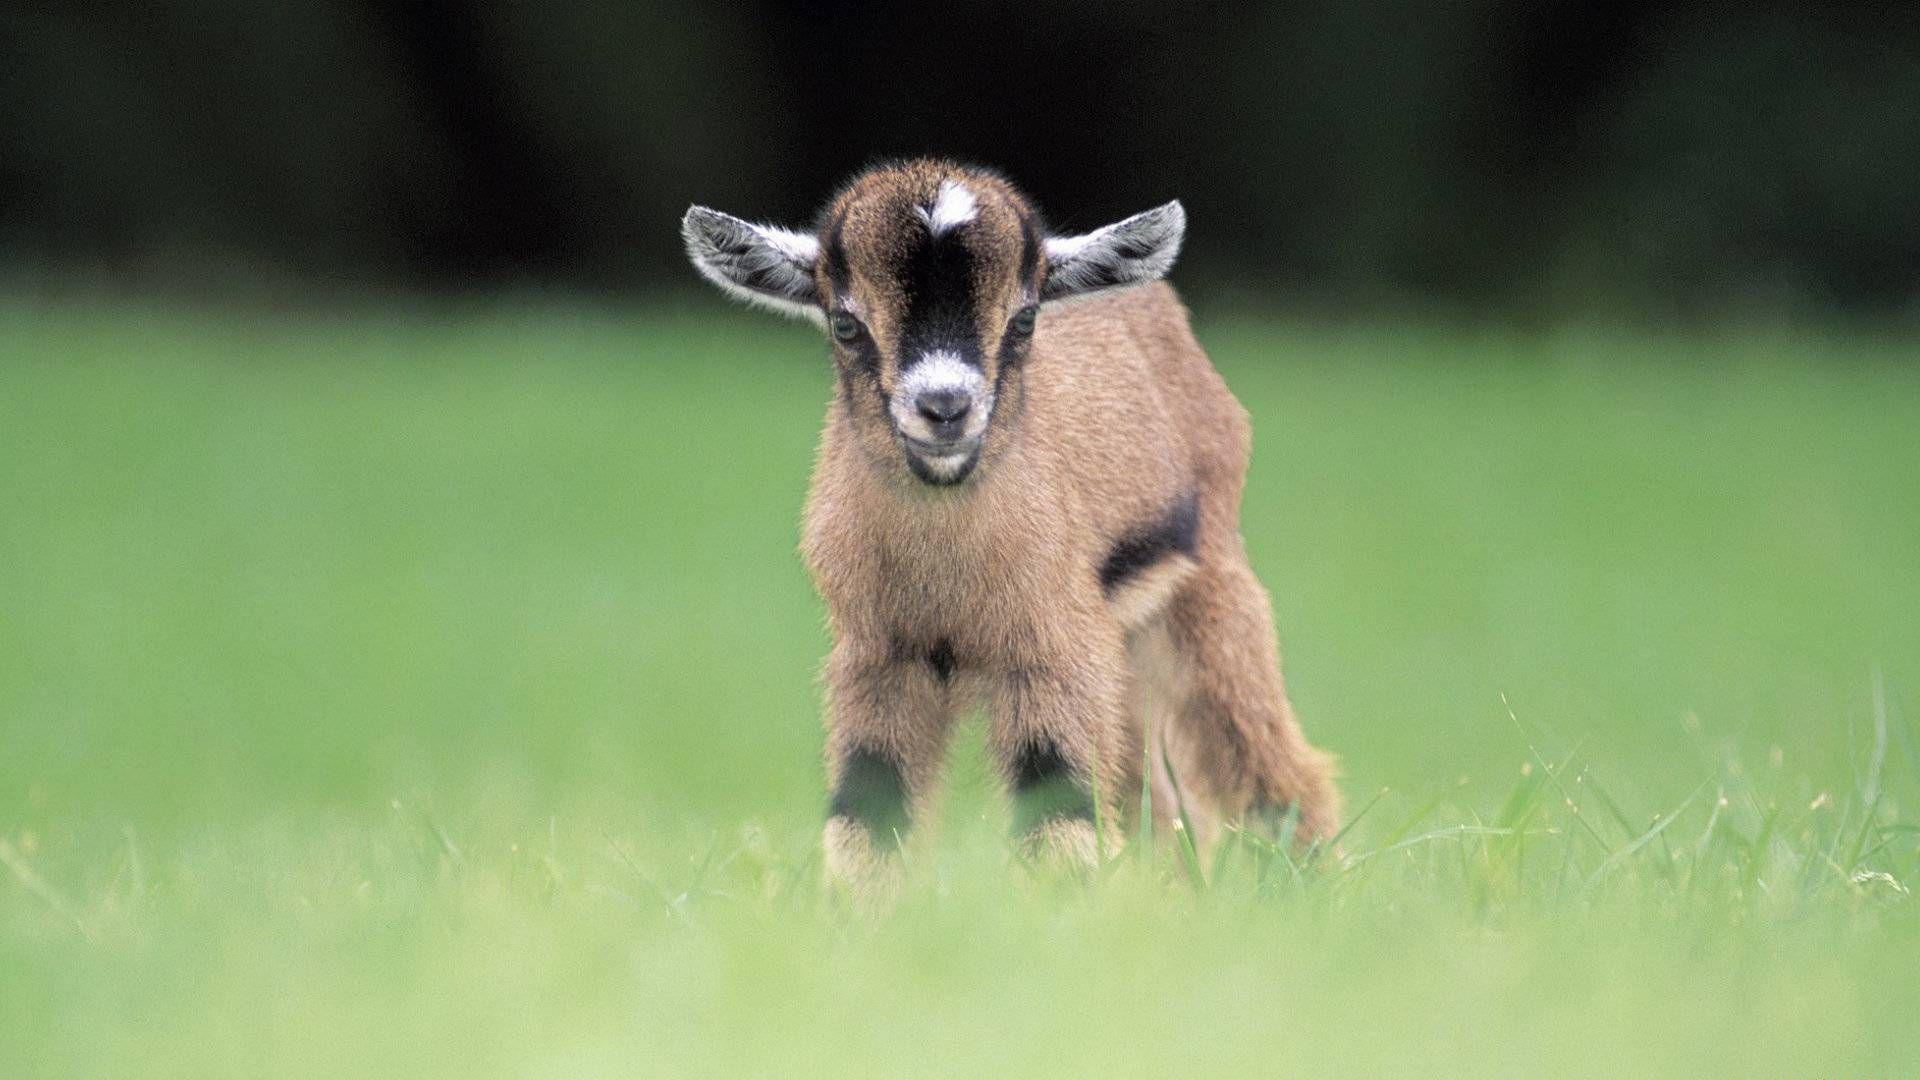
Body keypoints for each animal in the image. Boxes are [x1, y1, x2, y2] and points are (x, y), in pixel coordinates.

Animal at [683, 160, 1337, 891]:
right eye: (845, 325)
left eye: (1023, 319)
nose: (945, 407)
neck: (944, 578)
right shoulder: (879, 658)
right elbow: (868, 812)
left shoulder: (1052, 650)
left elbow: (1059, 811)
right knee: (1157, 804)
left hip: (1206, 592)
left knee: (1273, 770)